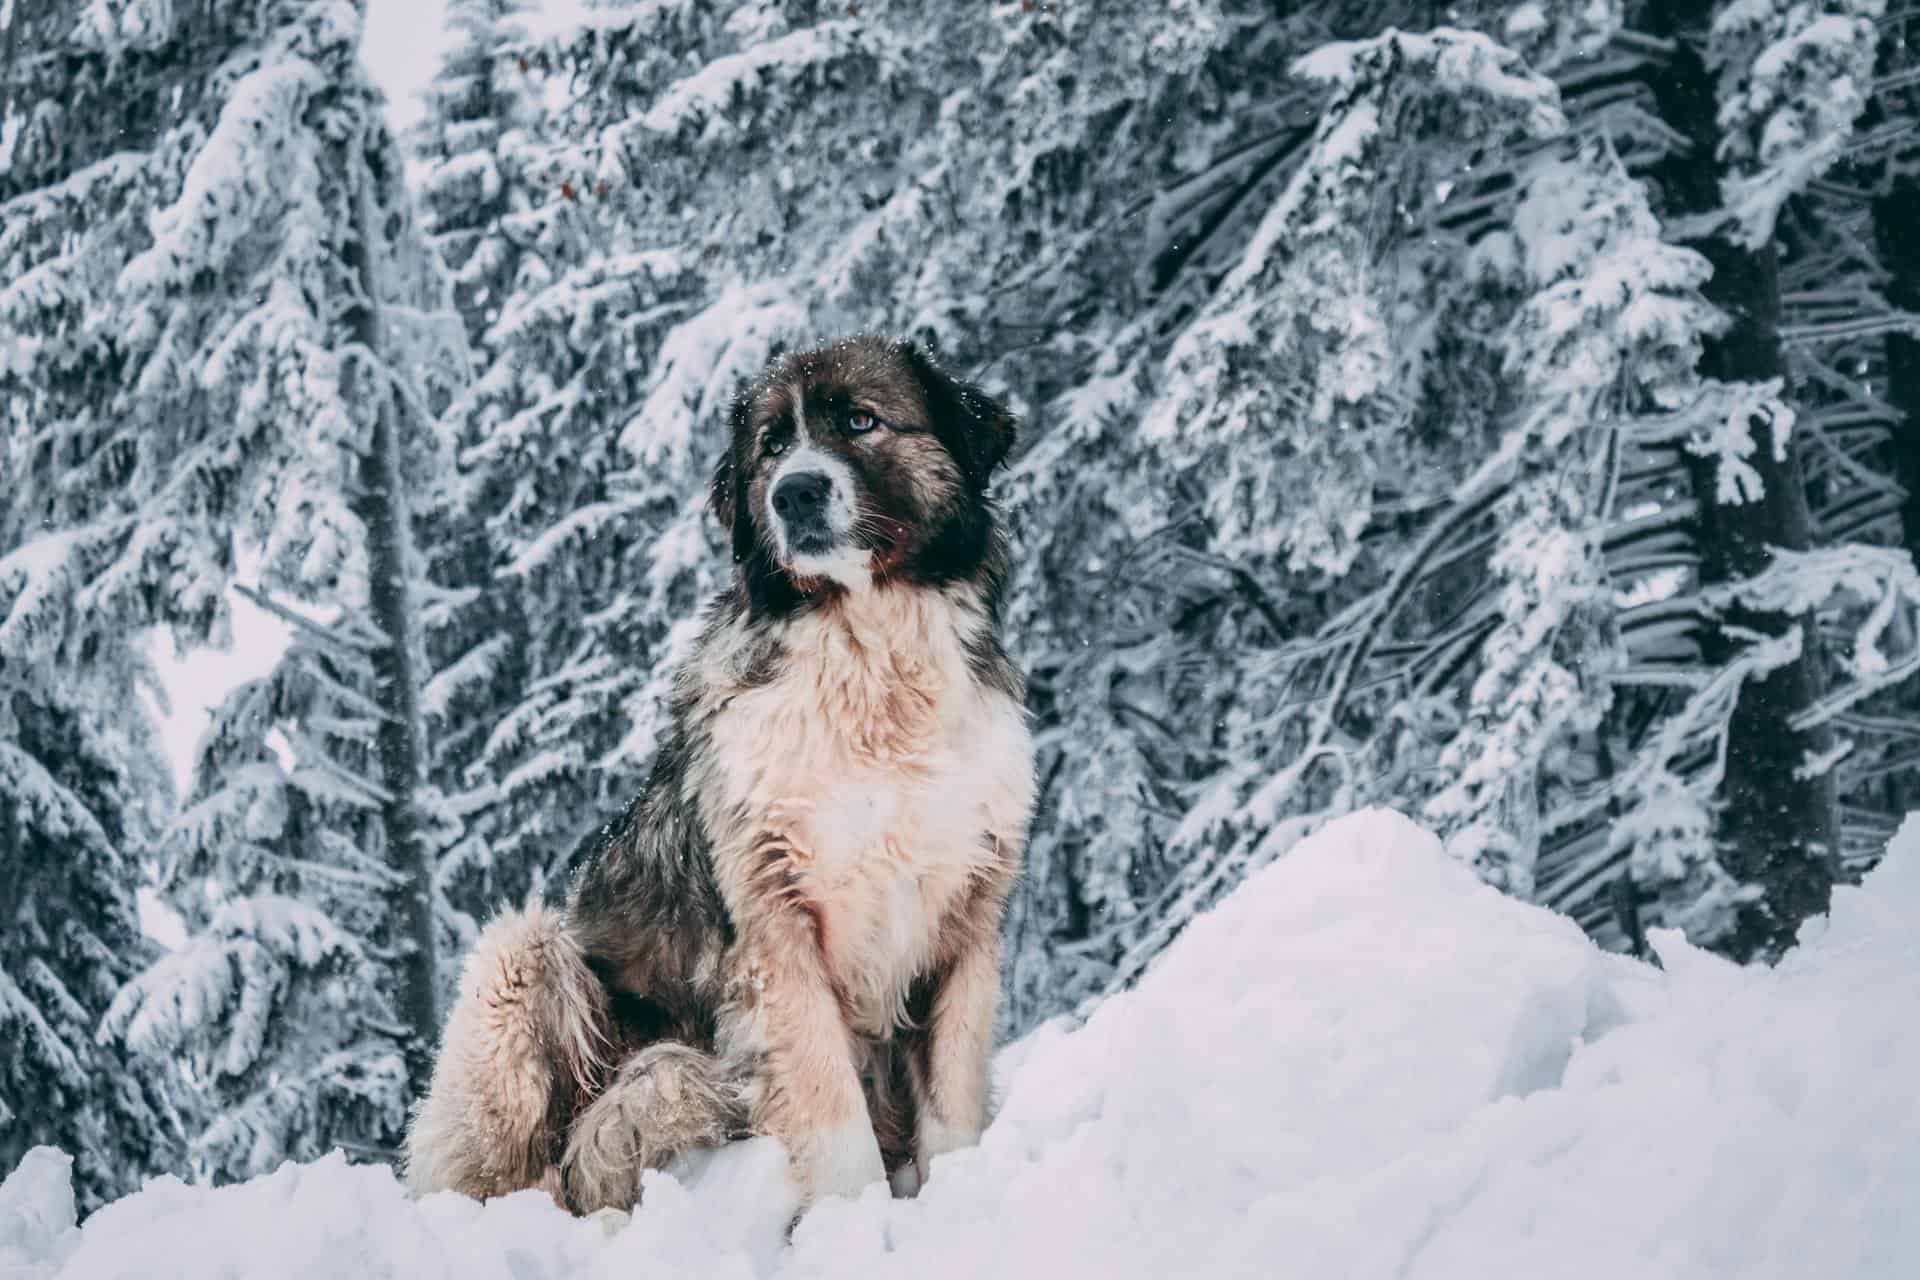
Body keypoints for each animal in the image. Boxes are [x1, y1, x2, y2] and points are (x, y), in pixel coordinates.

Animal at [403, 335, 1036, 1220]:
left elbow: (951, 1102)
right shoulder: (776, 931)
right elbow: (829, 1106)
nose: (794, 491)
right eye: (770, 445)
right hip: (524, 955)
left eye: (860, 421)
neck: (874, 672)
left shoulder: (966, 920)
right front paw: (851, 1220)